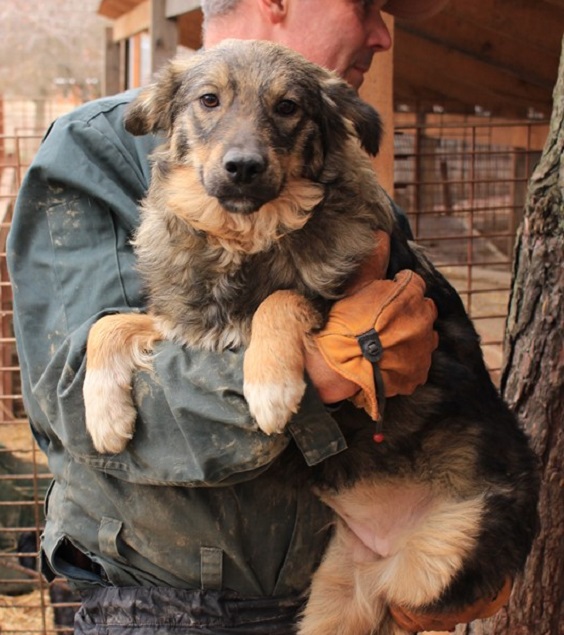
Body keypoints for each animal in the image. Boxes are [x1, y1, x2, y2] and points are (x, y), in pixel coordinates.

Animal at [82, 38, 536, 635]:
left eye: (288, 107)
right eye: (209, 100)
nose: (243, 168)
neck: (246, 237)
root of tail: (386, 554)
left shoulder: (351, 289)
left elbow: (282, 299)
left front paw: (270, 387)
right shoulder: (190, 325)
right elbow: (106, 324)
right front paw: (104, 415)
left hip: (443, 554)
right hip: (336, 596)